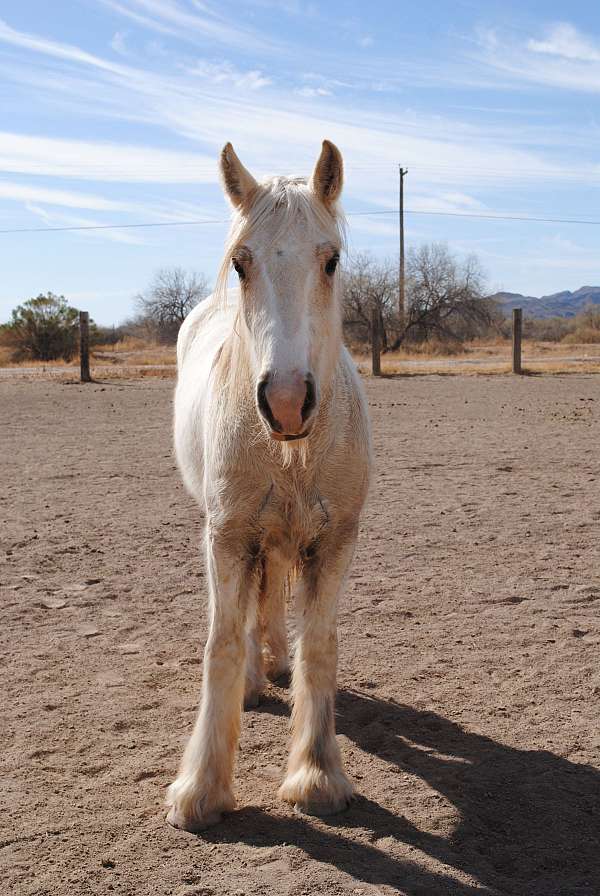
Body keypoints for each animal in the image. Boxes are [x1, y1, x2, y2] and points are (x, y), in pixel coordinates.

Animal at [164, 140, 370, 832]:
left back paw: (275, 661)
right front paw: (201, 789)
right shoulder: (226, 537)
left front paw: (316, 776)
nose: (283, 402)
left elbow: (320, 648)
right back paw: (257, 677)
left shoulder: (334, 542)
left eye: (330, 260)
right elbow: (223, 645)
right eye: (241, 262)